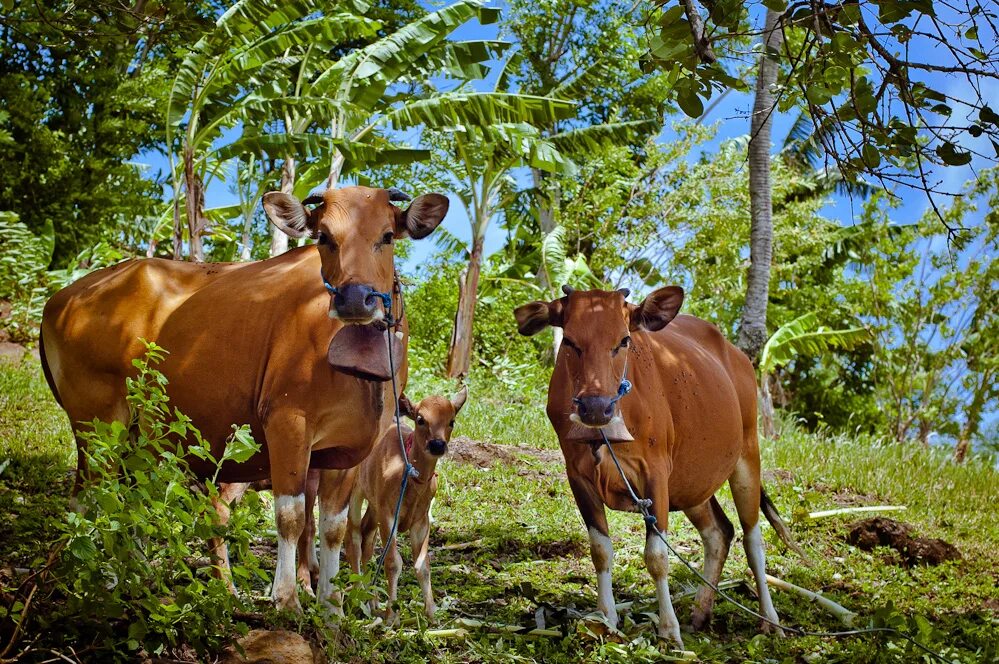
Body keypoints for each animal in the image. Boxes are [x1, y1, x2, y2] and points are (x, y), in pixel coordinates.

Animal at [38, 184, 446, 608]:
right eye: (324, 237)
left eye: (387, 235)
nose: (353, 299)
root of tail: (63, 298)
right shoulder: (286, 423)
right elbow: (291, 517)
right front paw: (287, 600)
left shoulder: (347, 448)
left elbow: (331, 526)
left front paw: (330, 606)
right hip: (97, 423)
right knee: (92, 495)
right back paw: (98, 579)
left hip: (140, 435)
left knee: (130, 493)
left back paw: (139, 574)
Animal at [344, 386, 468, 620]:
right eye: (420, 419)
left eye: (452, 421)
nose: (437, 445)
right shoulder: (387, 513)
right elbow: (393, 562)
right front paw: (391, 614)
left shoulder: (421, 518)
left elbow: (423, 564)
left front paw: (432, 613)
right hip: (353, 490)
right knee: (353, 538)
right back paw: (358, 596)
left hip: (373, 505)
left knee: (366, 537)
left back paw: (372, 599)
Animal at [520, 286, 800, 648]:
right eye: (569, 340)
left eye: (624, 340)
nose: (595, 406)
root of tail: (737, 357)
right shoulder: (578, 476)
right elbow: (600, 550)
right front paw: (606, 620)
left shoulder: (655, 474)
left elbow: (657, 556)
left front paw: (668, 631)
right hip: (692, 481)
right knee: (719, 532)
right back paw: (701, 611)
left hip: (747, 455)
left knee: (753, 542)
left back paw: (770, 620)